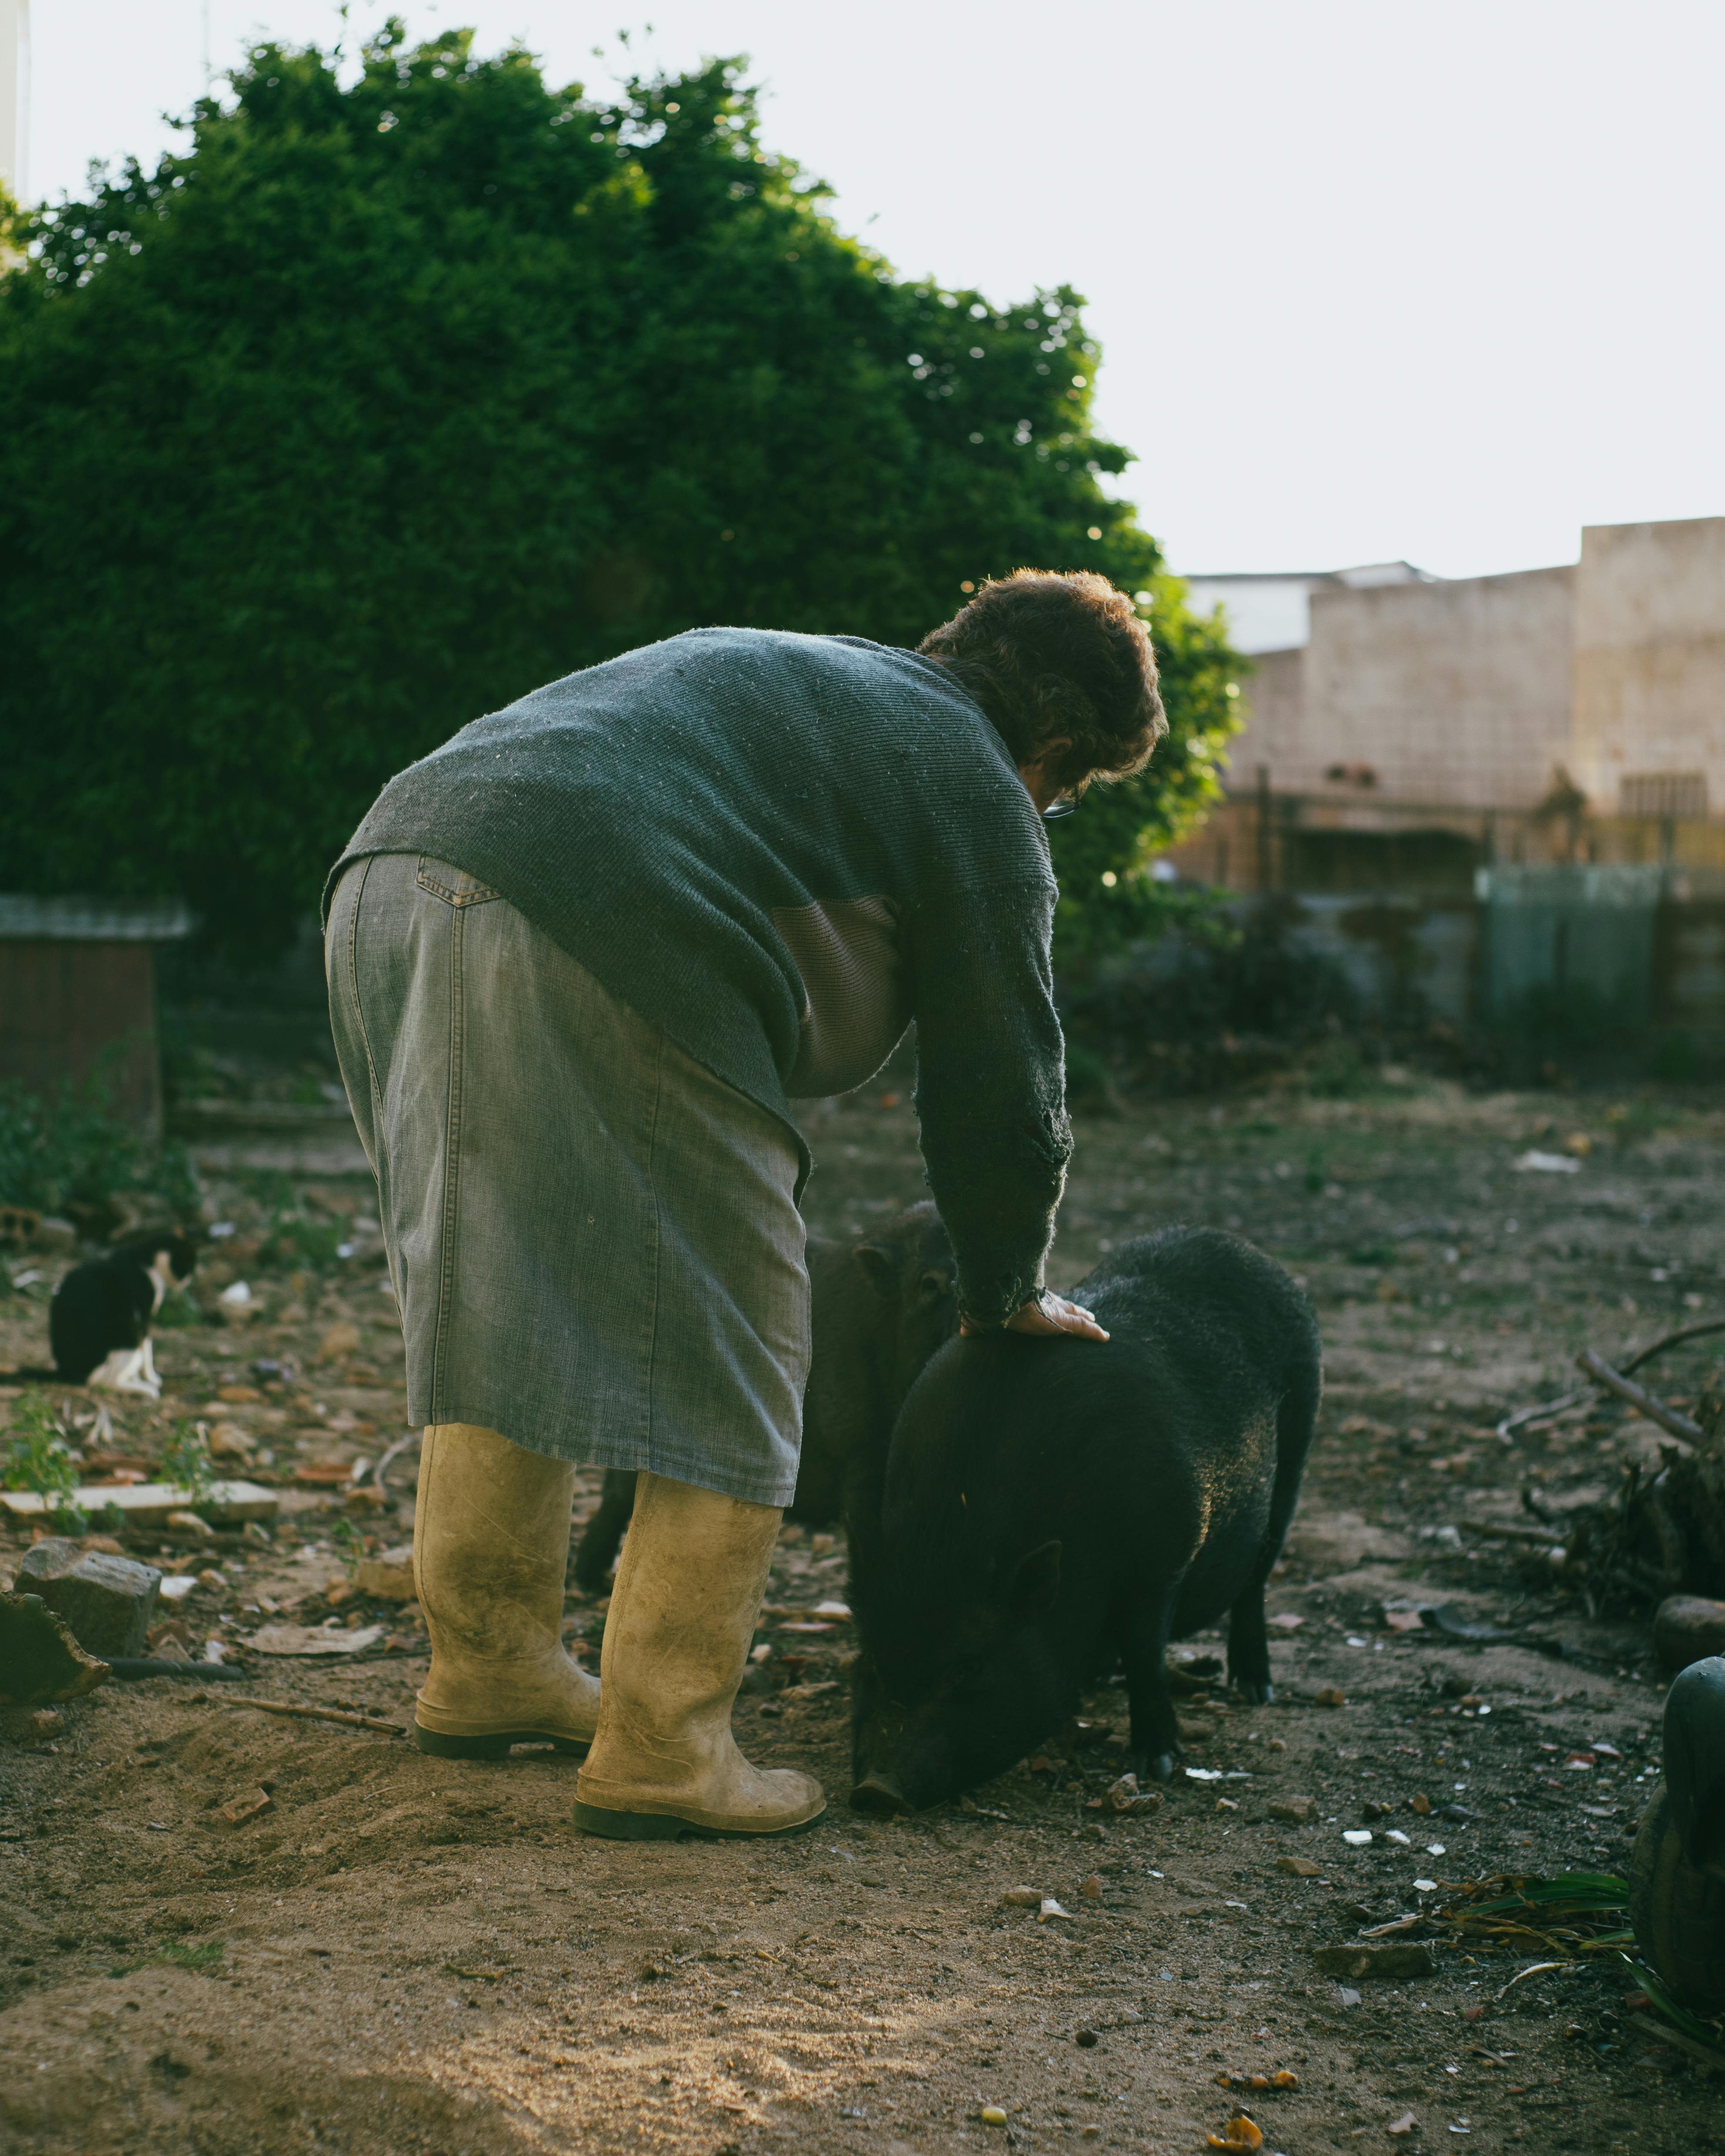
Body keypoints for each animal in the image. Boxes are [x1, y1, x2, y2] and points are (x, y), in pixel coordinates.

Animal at [47, 1233, 197, 1397]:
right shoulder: (144, 1314)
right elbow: (148, 1350)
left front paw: (138, 1377)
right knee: (105, 1382)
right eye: (189, 1266)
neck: (143, 1260)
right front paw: (151, 1377)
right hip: (128, 1336)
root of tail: (69, 1373)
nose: (189, 1280)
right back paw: (146, 1389)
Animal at [849, 1225, 1319, 1811]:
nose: (876, 1789)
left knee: (1256, 1581)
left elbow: (1145, 1653)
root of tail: (1242, 1247)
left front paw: (1157, 1765)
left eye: (969, 1665)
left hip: (1295, 1455)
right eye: (872, 1659)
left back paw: (1255, 1689)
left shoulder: (1164, 1558)